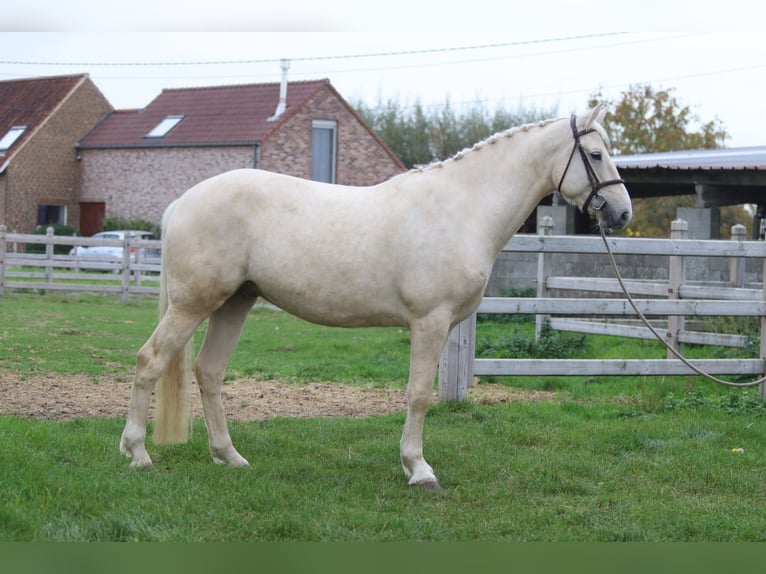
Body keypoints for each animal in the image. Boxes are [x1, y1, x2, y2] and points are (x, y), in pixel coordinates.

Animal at [119, 104, 631, 489]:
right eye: (595, 153)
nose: (623, 213)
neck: (462, 208)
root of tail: (180, 203)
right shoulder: (430, 322)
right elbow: (419, 395)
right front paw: (418, 469)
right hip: (193, 305)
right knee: (150, 361)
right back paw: (138, 453)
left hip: (234, 303)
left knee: (209, 372)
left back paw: (229, 456)